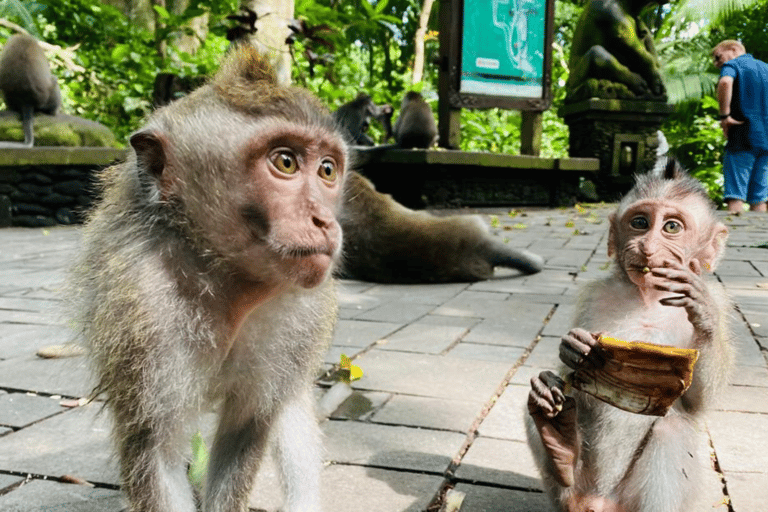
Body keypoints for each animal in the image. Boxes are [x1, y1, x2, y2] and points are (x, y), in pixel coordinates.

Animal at [70, 45, 346, 512]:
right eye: (285, 162)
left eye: (327, 170)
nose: (325, 221)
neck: (224, 277)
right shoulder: (141, 309)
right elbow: (156, 450)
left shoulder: (302, 314)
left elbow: (249, 426)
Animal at [524, 159, 736, 512]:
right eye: (639, 223)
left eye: (672, 227)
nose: (646, 247)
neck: (648, 297)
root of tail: (598, 501)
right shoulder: (594, 294)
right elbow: (575, 377)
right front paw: (572, 347)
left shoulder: (721, 301)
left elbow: (698, 403)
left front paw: (700, 310)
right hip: (572, 491)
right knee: (545, 394)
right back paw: (559, 443)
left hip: (630, 499)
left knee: (670, 429)